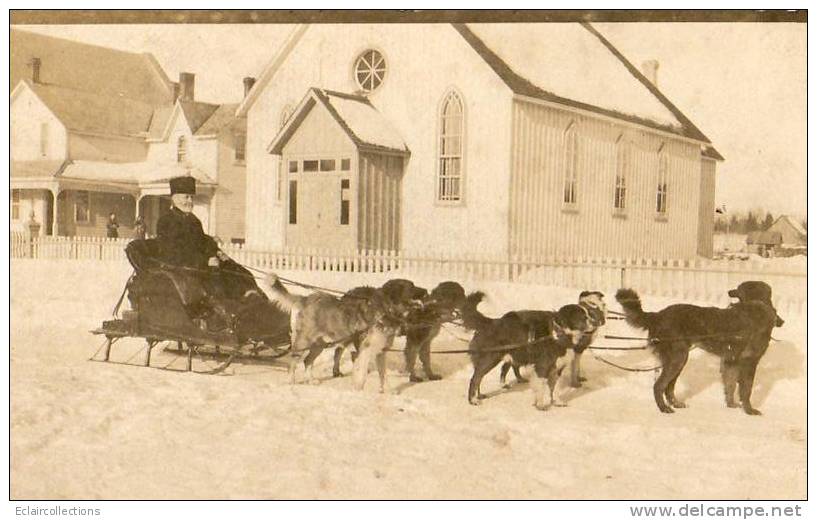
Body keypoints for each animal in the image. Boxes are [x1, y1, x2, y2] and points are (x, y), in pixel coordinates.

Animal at [616, 288, 776, 414]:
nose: (729, 292)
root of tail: (657, 315)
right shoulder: (749, 362)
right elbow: (746, 389)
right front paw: (749, 410)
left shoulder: (731, 361)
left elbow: (730, 385)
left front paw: (731, 405)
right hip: (678, 357)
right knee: (659, 385)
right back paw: (664, 408)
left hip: (679, 359)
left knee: (669, 387)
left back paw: (675, 404)